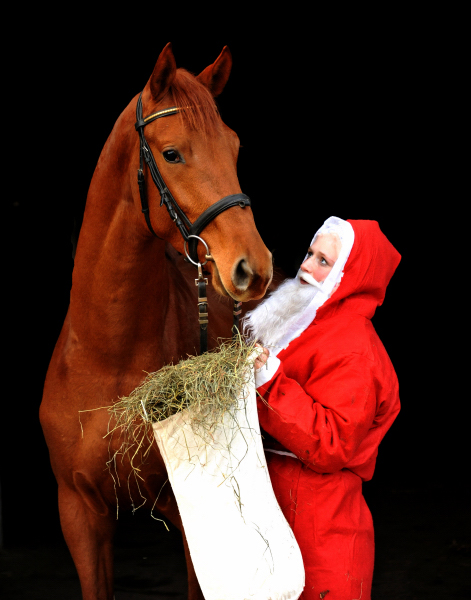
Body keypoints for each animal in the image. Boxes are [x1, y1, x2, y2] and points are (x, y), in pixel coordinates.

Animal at [42, 43, 274, 600]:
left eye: (234, 147)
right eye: (172, 154)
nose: (253, 267)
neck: (107, 358)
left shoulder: (193, 515)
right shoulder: (79, 515)